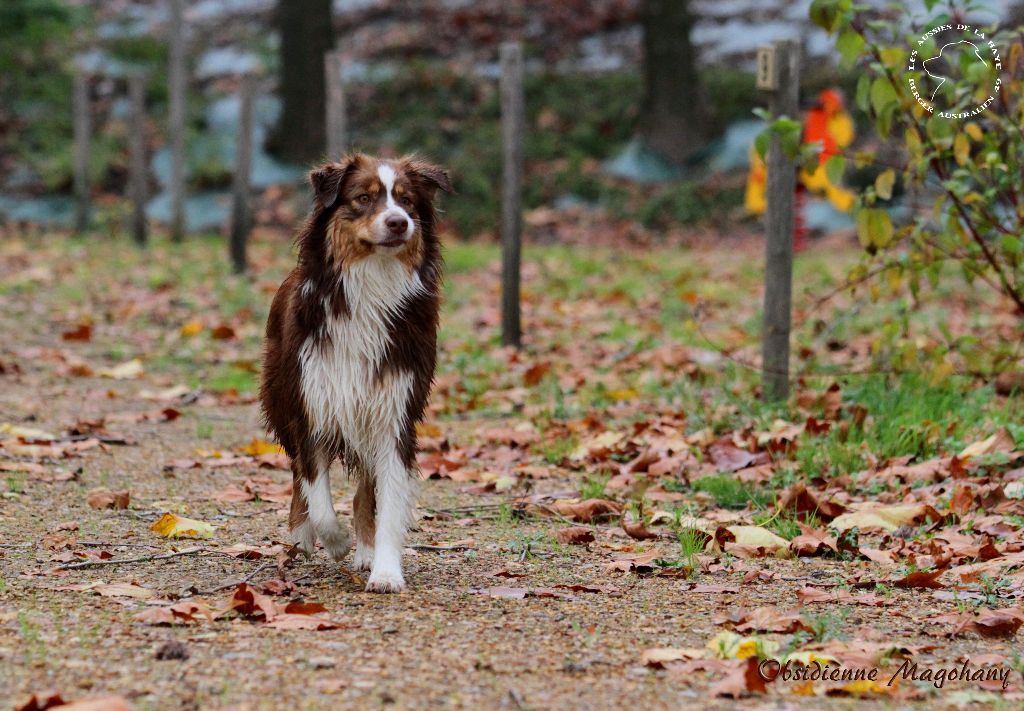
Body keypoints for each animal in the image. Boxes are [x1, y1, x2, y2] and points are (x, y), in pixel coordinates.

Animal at [260, 153, 448, 594]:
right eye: (363, 198)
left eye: (407, 201)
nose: (399, 222)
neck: (370, 288)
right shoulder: (311, 407)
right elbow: (317, 493)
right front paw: (334, 542)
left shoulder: (395, 414)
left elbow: (390, 502)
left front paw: (385, 570)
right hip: (281, 399)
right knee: (298, 476)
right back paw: (301, 537)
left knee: (364, 489)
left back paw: (364, 550)